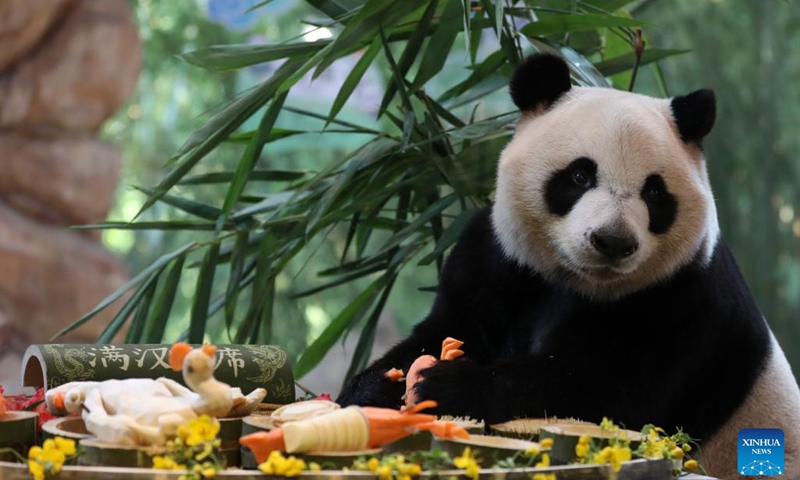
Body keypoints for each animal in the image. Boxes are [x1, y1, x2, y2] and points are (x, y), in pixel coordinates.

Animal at [338, 53, 800, 480]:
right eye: (580, 176)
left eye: (654, 192)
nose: (613, 242)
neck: (578, 279)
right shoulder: (497, 260)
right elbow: (447, 327)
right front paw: (376, 386)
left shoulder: (681, 298)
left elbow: (607, 391)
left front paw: (451, 385)